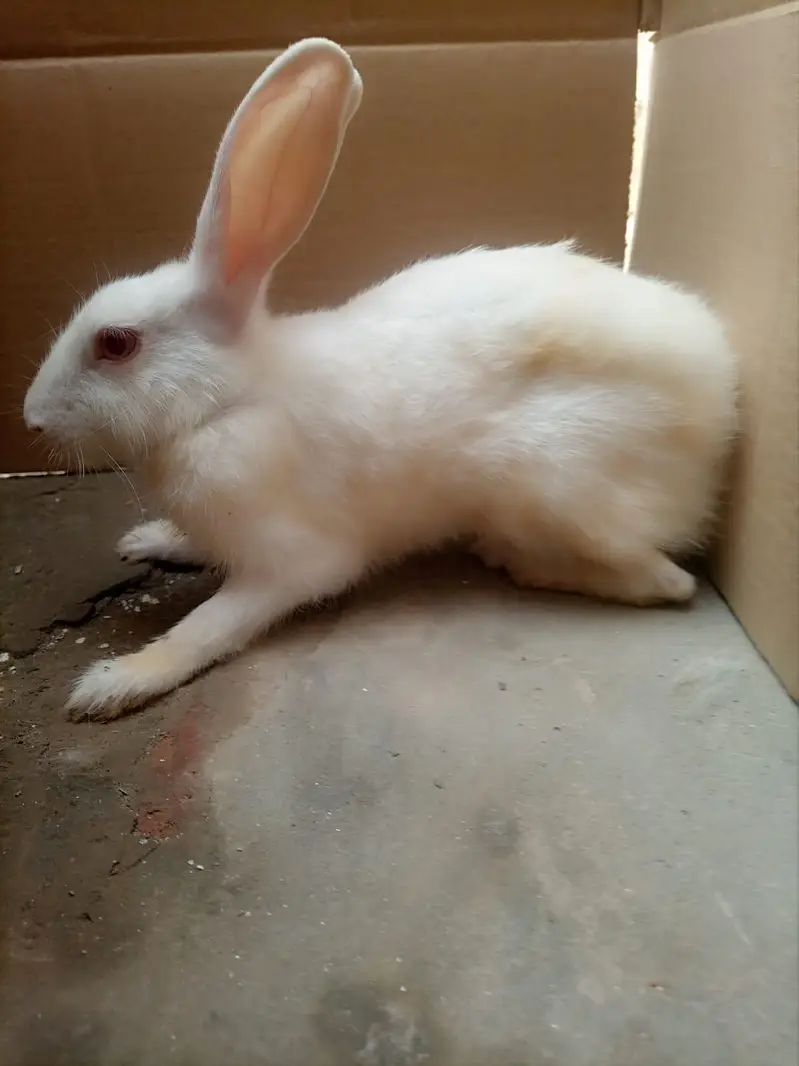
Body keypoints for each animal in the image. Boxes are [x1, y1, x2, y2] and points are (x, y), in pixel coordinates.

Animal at [23, 38, 739, 722]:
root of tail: (721, 413)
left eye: (116, 343)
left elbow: (206, 627)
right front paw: (147, 541)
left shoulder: (293, 562)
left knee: (666, 581)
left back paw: (518, 561)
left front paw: (113, 683)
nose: (31, 417)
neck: (230, 399)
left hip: (555, 483)